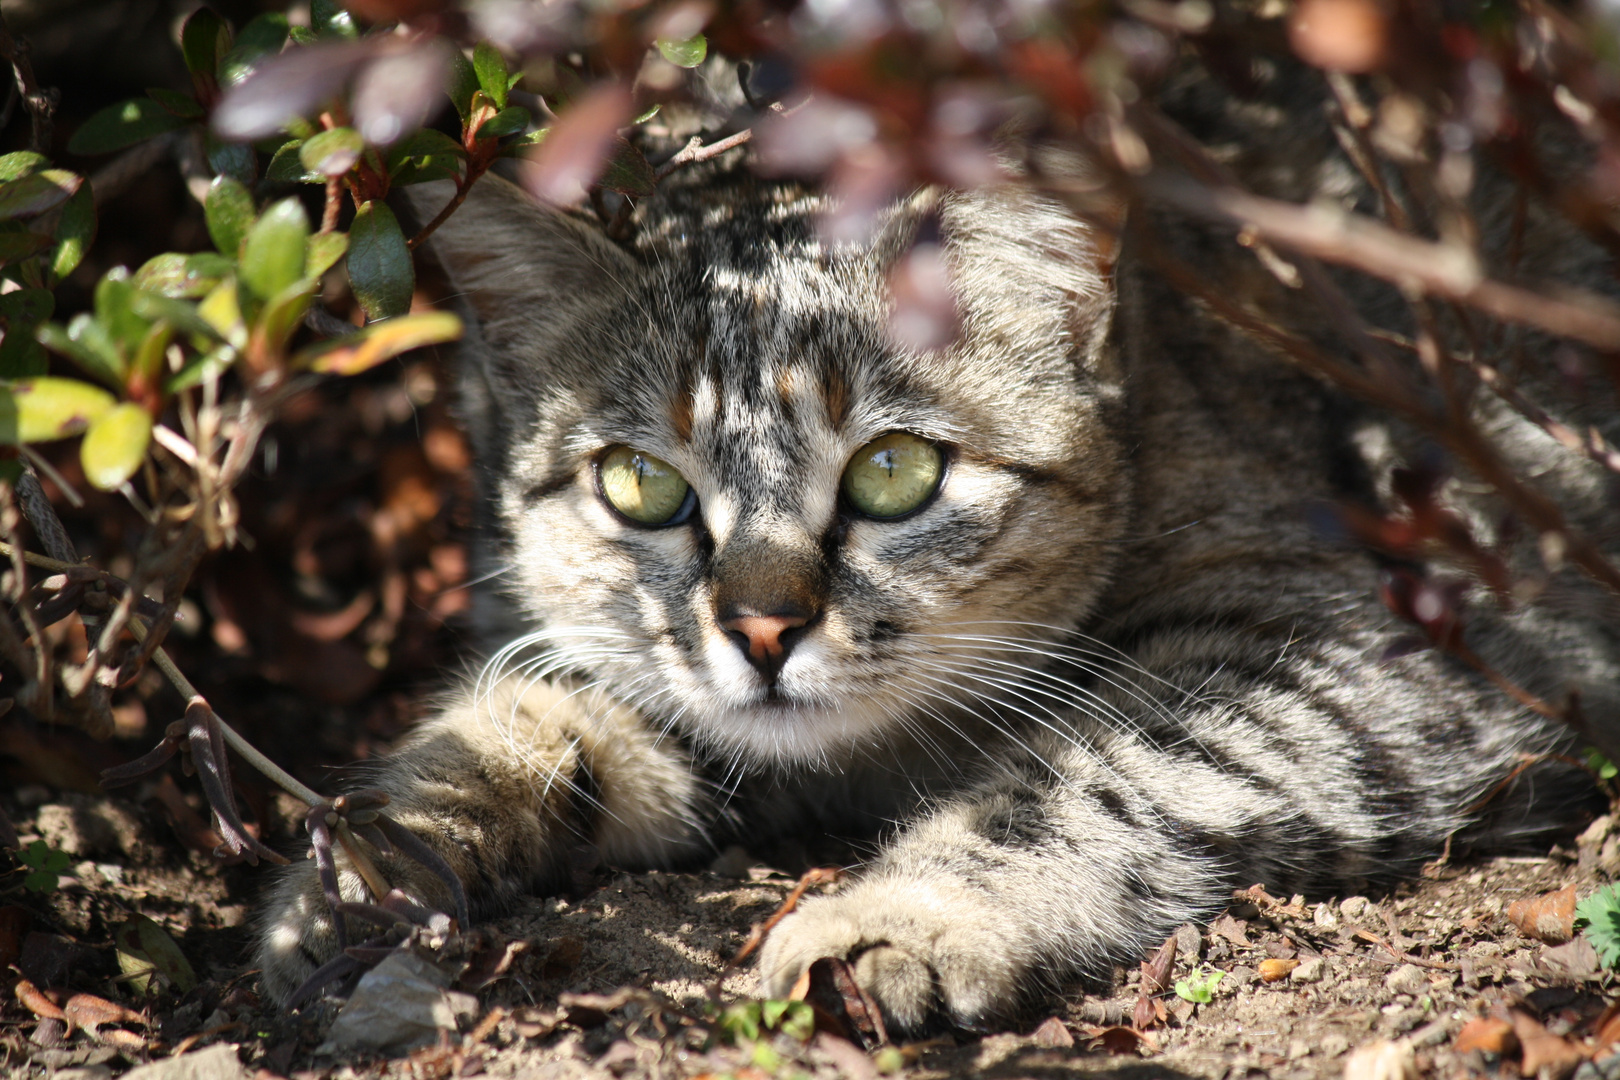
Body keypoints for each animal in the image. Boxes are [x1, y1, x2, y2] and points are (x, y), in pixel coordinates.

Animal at [252, 57, 1620, 1029]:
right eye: (642, 486)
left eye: (894, 471)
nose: (762, 627)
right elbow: (523, 723)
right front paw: (369, 858)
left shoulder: (1368, 643)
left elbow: (1088, 775)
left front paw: (895, 916)